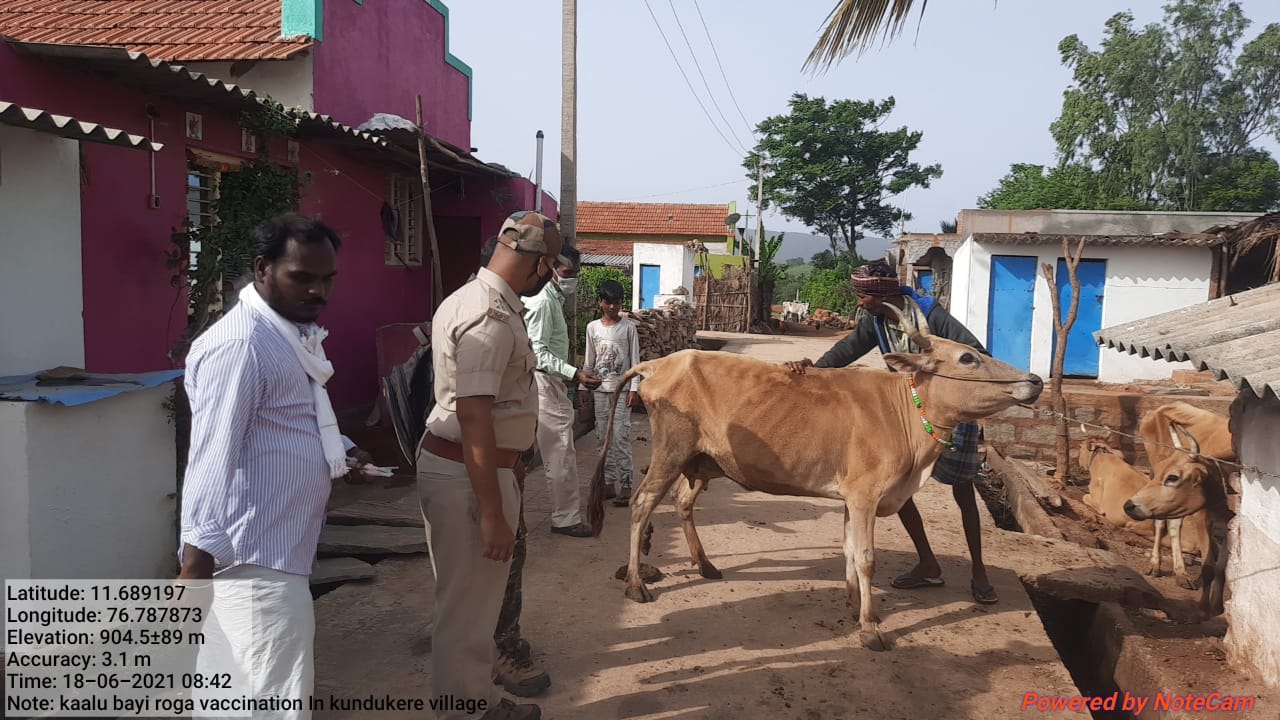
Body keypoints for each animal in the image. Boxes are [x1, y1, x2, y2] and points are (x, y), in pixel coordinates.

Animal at [586, 302, 1044, 650]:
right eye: (968, 358)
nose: (1034, 380)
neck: (907, 412)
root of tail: (660, 361)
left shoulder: (852, 497)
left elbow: (848, 550)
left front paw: (853, 602)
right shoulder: (865, 495)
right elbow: (866, 557)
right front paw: (870, 627)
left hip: (701, 461)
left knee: (681, 502)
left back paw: (705, 564)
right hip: (671, 451)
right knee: (643, 503)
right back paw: (636, 583)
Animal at [1126, 404, 1233, 617]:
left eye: (1173, 477)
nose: (1130, 505)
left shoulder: (1229, 520)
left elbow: (1221, 568)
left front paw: (1217, 606)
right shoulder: (1202, 516)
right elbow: (1208, 567)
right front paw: (1203, 608)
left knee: (1174, 524)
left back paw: (1181, 574)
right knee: (1162, 524)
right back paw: (1157, 565)